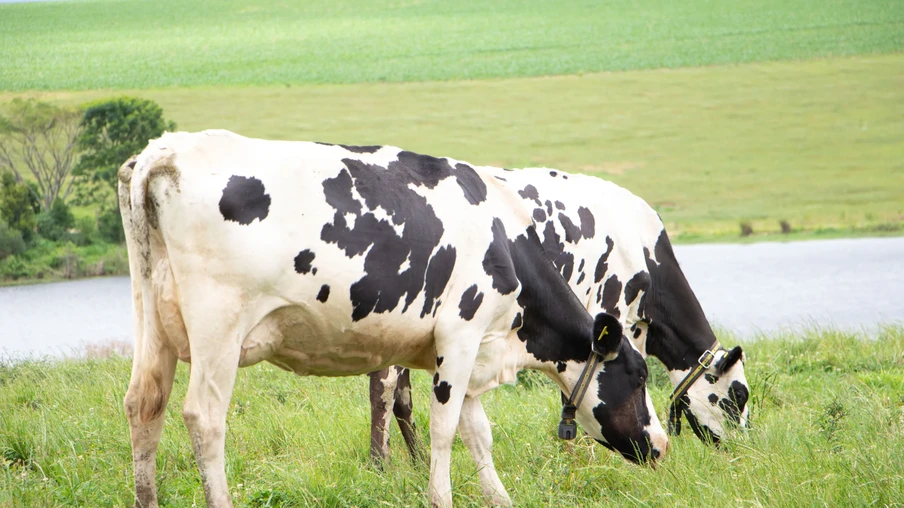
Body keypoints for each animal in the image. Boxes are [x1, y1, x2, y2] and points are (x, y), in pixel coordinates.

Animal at [118, 130, 668, 508]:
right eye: (639, 375)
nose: (662, 445)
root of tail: (166, 150)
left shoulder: (471, 351)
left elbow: (478, 433)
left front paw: (500, 498)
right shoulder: (460, 334)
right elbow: (446, 430)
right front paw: (441, 498)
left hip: (151, 318)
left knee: (145, 405)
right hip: (219, 327)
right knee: (204, 417)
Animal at [368, 166, 750, 464]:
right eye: (739, 396)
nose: (745, 448)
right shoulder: (611, 310)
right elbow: (584, 387)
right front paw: (580, 454)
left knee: (401, 397)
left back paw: (417, 461)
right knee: (384, 388)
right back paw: (380, 464)